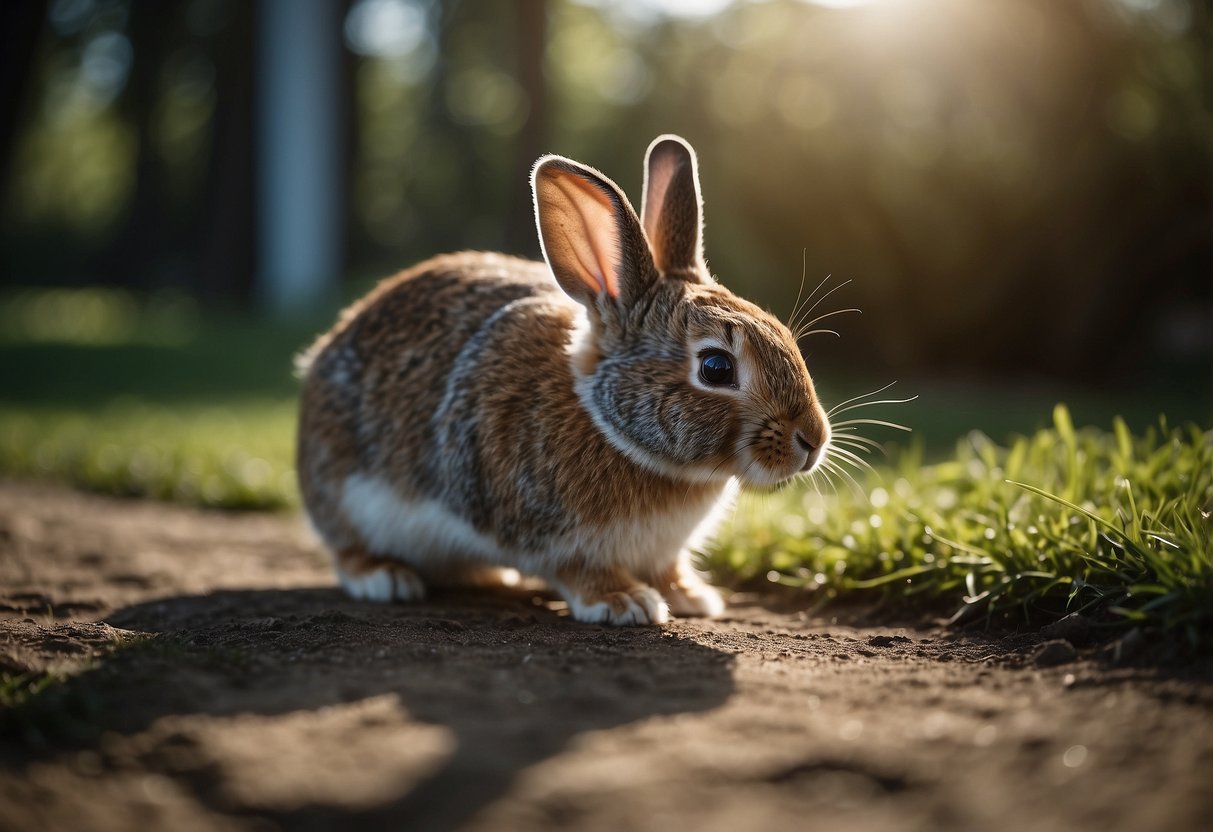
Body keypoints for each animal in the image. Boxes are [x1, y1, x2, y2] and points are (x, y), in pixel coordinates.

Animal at [294, 135, 829, 625]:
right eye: (716, 368)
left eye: (781, 332)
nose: (813, 439)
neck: (611, 428)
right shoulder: (543, 531)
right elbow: (578, 570)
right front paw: (625, 603)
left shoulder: (662, 551)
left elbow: (668, 568)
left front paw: (691, 597)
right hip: (343, 492)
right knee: (346, 548)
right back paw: (384, 577)